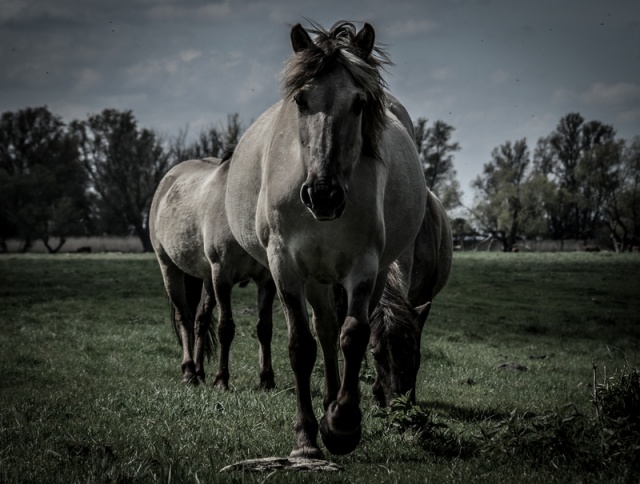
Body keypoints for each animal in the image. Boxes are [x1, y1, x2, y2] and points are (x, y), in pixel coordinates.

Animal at [149, 157, 276, 392]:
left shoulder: (266, 280)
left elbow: (264, 328)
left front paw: (267, 380)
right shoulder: (222, 276)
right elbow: (225, 328)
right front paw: (221, 379)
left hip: (208, 278)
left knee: (201, 319)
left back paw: (199, 372)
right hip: (170, 269)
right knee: (185, 317)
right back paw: (189, 372)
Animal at [225, 21, 430, 458]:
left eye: (359, 103)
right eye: (301, 100)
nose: (323, 194)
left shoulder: (364, 265)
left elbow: (354, 336)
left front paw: (342, 425)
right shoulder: (284, 266)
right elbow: (302, 346)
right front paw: (306, 438)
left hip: (363, 272)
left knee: (338, 330)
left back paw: (335, 406)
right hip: (314, 277)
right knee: (323, 330)